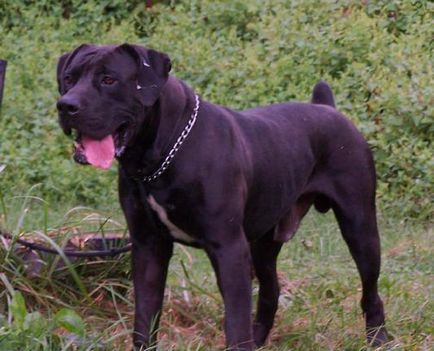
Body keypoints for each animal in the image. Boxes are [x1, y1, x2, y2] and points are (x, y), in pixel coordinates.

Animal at [56, 45, 386, 350]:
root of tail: (328, 109)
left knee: (371, 293)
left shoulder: (228, 248)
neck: (162, 154)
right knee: (270, 292)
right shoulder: (148, 246)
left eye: (109, 79)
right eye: (69, 79)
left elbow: (235, 322)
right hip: (263, 243)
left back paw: (379, 339)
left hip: (360, 227)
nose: (65, 105)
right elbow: (145, 320)